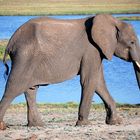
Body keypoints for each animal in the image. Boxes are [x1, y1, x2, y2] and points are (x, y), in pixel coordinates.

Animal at [0, 13, 140, 130]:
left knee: (31, 89)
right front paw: (84, 124)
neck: (114, 21)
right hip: (24, 55)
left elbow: (99, 82)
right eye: (132, 42)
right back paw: (3, 126)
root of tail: (10, 42)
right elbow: (89, 80)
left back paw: (37, 125)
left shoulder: (97, 51)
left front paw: (115, 122)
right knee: (13, 88)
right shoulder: (91, 50)